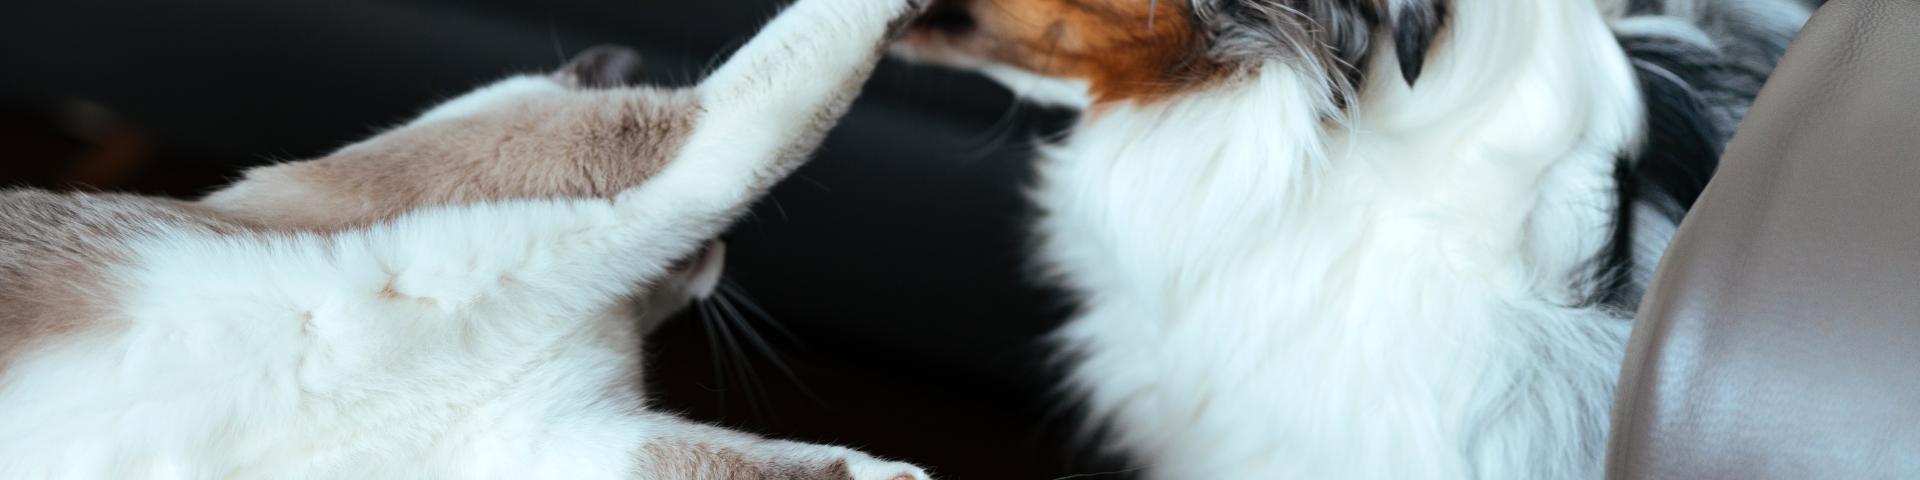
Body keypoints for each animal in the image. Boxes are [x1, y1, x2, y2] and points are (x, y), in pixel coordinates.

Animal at [0, 0, 929, 476]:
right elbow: (807, 58)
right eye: (717, 243)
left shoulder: (558, 439)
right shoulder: (680, 157)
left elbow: (798, 468)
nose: (721, 257)